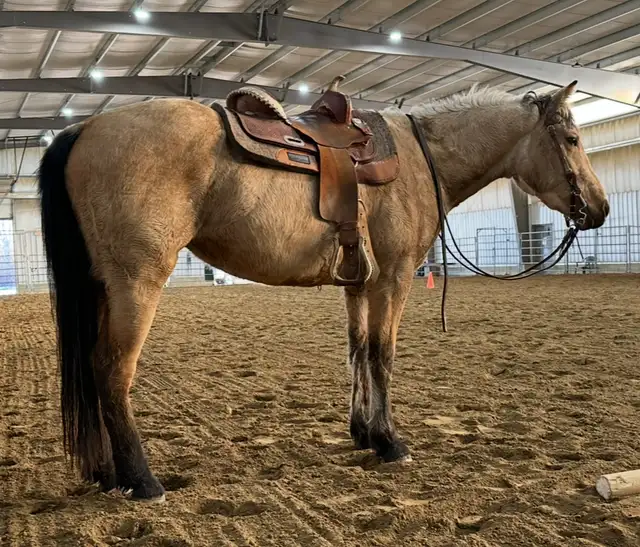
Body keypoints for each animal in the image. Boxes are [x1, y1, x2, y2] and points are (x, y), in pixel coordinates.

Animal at [38, 80, 609, 503]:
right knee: (112, 371)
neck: (421, 160)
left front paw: (362, 432)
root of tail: (86, 126)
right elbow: (381, 355)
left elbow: (356, 351)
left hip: (103, 287)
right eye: (573, 140)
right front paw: (390, 441)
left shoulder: (357, 282)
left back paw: (107, 473)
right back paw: (142, 480)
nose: (600, 208)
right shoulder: (394, 277)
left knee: (92, 368)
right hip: (137, 282)